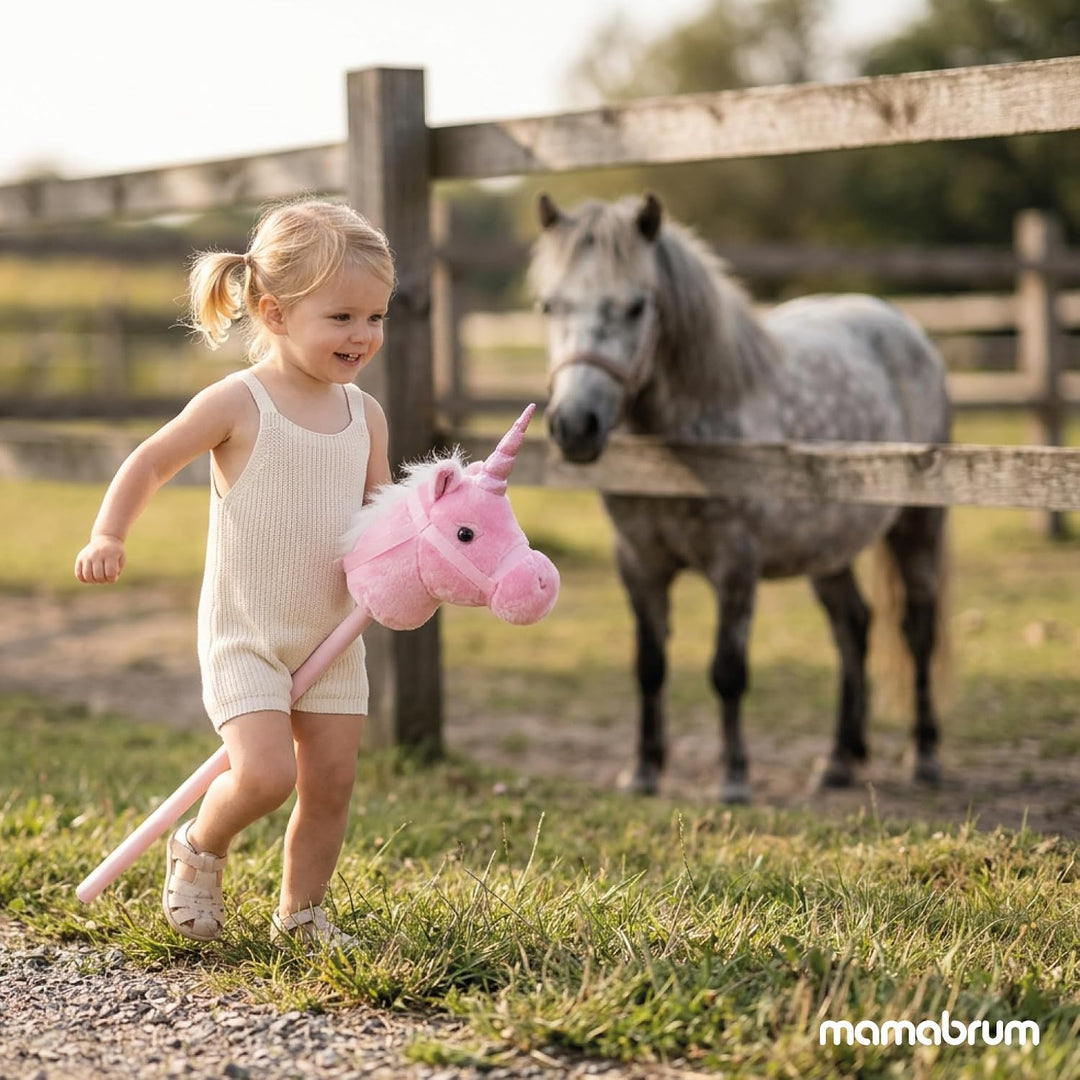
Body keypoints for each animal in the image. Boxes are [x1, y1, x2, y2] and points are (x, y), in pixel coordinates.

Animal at [529, 192, 950, 803]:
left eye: (636, 307)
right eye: (548, 305)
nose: (574, 426)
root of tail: (904, 326)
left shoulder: (735, 564)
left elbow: (727, 671)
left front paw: (732, 779)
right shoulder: (639, 562)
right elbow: (649, 665)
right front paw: (643, 771)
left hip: (918, 524)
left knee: (917, 630)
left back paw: (925, 755)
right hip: (828, 547)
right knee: (853, 628)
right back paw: (839, 761)